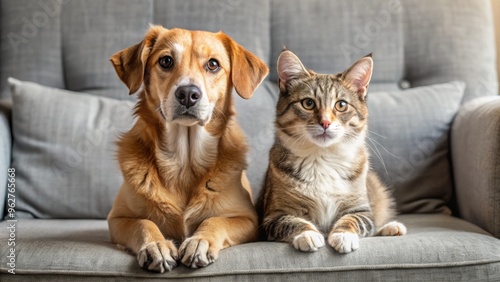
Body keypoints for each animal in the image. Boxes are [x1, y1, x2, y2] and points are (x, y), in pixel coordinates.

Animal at [107, 26, 268, 274]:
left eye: (213, 64)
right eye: (165, 61)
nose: (187, 94)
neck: (184, 161)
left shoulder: (248, 219)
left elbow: (214, 220)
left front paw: (200, 241)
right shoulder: (117, 219)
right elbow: (144, 223)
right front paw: (156, 245)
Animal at [256, 49, 404, 252]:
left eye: (341, 105)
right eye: (308, 103)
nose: (325, 122)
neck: (322, 158)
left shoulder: (361, 209)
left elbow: (355, 219)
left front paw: (343, 235)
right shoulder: (273, 215)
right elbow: (291, 221)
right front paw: (308, 234)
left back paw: (392, 227)